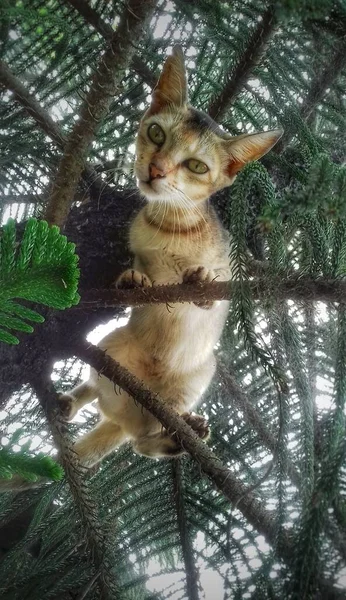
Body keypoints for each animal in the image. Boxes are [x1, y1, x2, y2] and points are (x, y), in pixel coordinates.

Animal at [56, 45, 284, 468]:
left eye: (196, 165)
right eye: (156, 133)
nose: (156, 169)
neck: (170, 226)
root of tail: (129, 416)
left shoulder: (227, 262)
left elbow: (216, 283)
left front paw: (201, 280)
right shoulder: (140, 249)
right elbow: (141, 266)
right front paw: (132, 278)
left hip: (194, 379)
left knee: (143, 443)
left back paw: (178, 437)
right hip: (111, 346)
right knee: (98, 394)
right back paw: (72, 402)